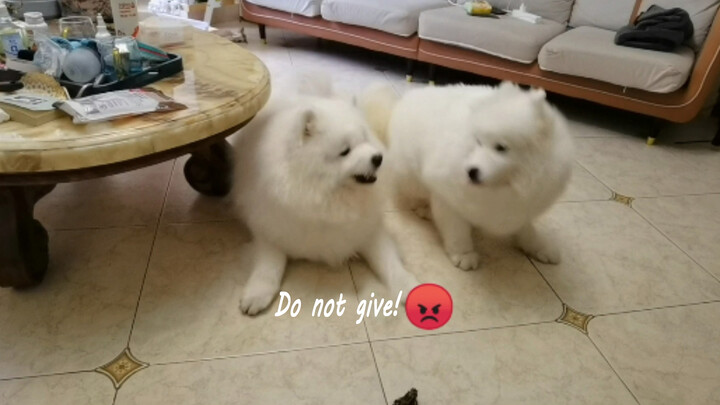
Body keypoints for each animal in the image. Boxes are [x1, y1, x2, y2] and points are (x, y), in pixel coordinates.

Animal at [233, 76, 420, 316]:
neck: (327, 199)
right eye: (345, 151)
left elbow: (389, 262)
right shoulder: (270, 230)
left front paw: (408, 286)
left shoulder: (367, 231)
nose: (378, 158)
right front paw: (257, 293)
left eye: (365, 140)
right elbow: (269, 265)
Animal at [360, 80, 572, 270]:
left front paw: (540, 247)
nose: (471, 171)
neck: (503, 186)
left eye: (501, 148)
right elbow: (457, 230)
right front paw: (463, 254)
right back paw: (424, 209)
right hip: (411, 178)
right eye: (478, 141)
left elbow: (526, 230)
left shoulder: (519, 207)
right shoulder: (449, 197)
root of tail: (398, 107)